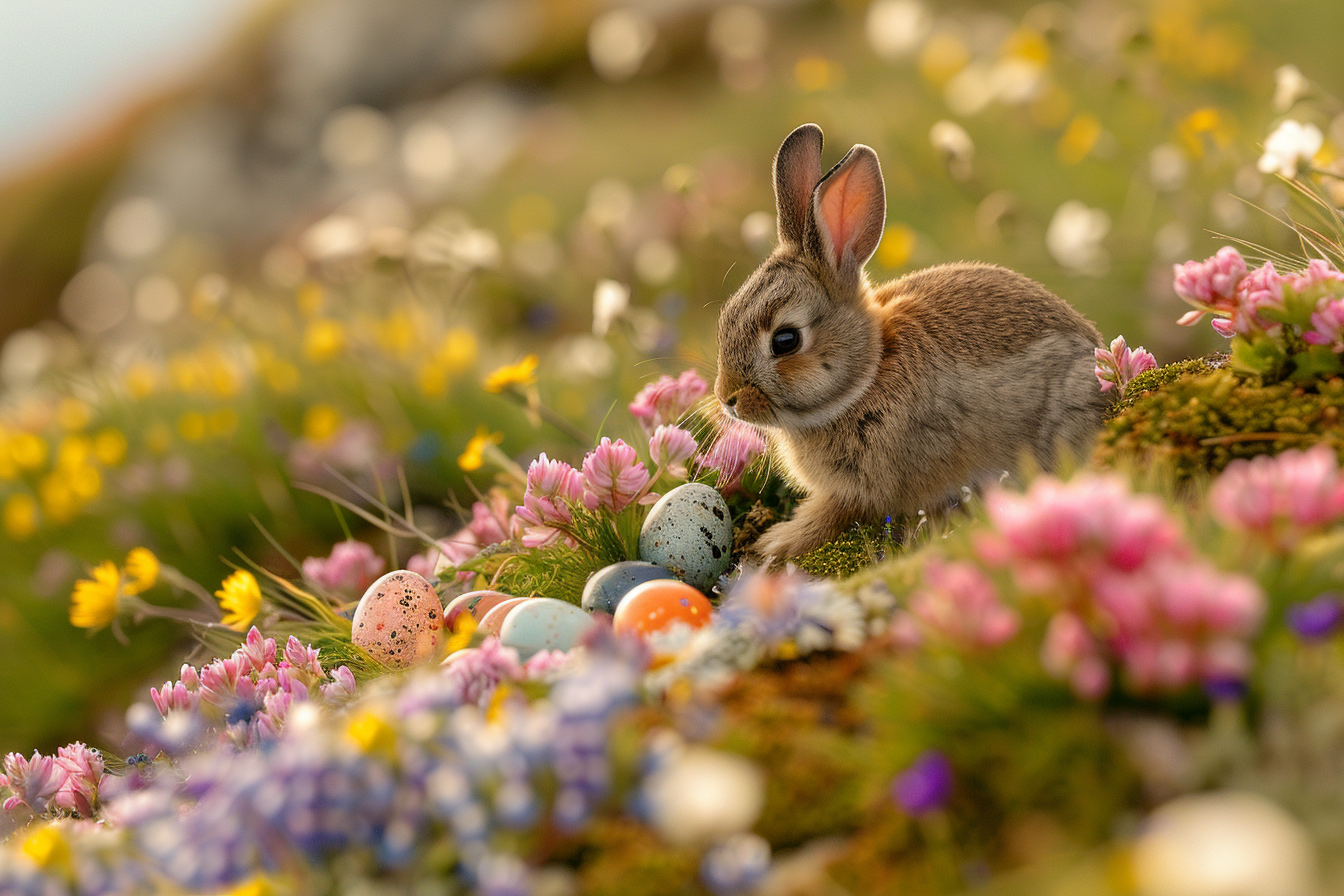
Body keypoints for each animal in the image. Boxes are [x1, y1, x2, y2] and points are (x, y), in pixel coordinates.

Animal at [715, 123, 1109, 560]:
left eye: (785, 340)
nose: (727, 399)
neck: (868, 376)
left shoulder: (865, 490)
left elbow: (834, 516)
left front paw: (779, 542)